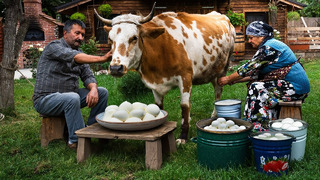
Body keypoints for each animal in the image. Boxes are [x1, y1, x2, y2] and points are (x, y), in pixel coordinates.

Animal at [94, 2, 235, 143]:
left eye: (134, 38)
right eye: (110, 39)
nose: (115, 68)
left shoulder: (185, 77)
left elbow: (184, 105)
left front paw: (183, 136)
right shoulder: (154, 84)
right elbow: (158, 106)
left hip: (223, 69)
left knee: (218, 91)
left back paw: (214, 114)